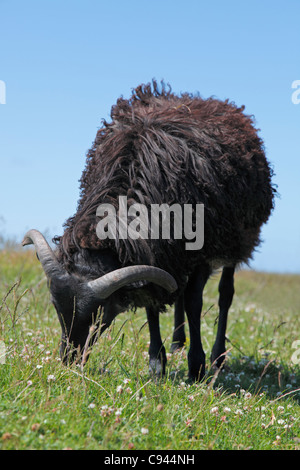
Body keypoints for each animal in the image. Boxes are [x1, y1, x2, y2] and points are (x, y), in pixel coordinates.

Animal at [22, 81, 276, 382]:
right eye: (55, 306)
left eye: (99, 314)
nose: (69, 360)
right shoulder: (157, 253)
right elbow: (152, 303)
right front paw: (157, 362)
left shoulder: (200, 250)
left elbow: (194, 302)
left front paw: (197, 366)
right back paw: (178, 342)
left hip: (237, 241)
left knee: (225, 293)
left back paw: (217, 357)